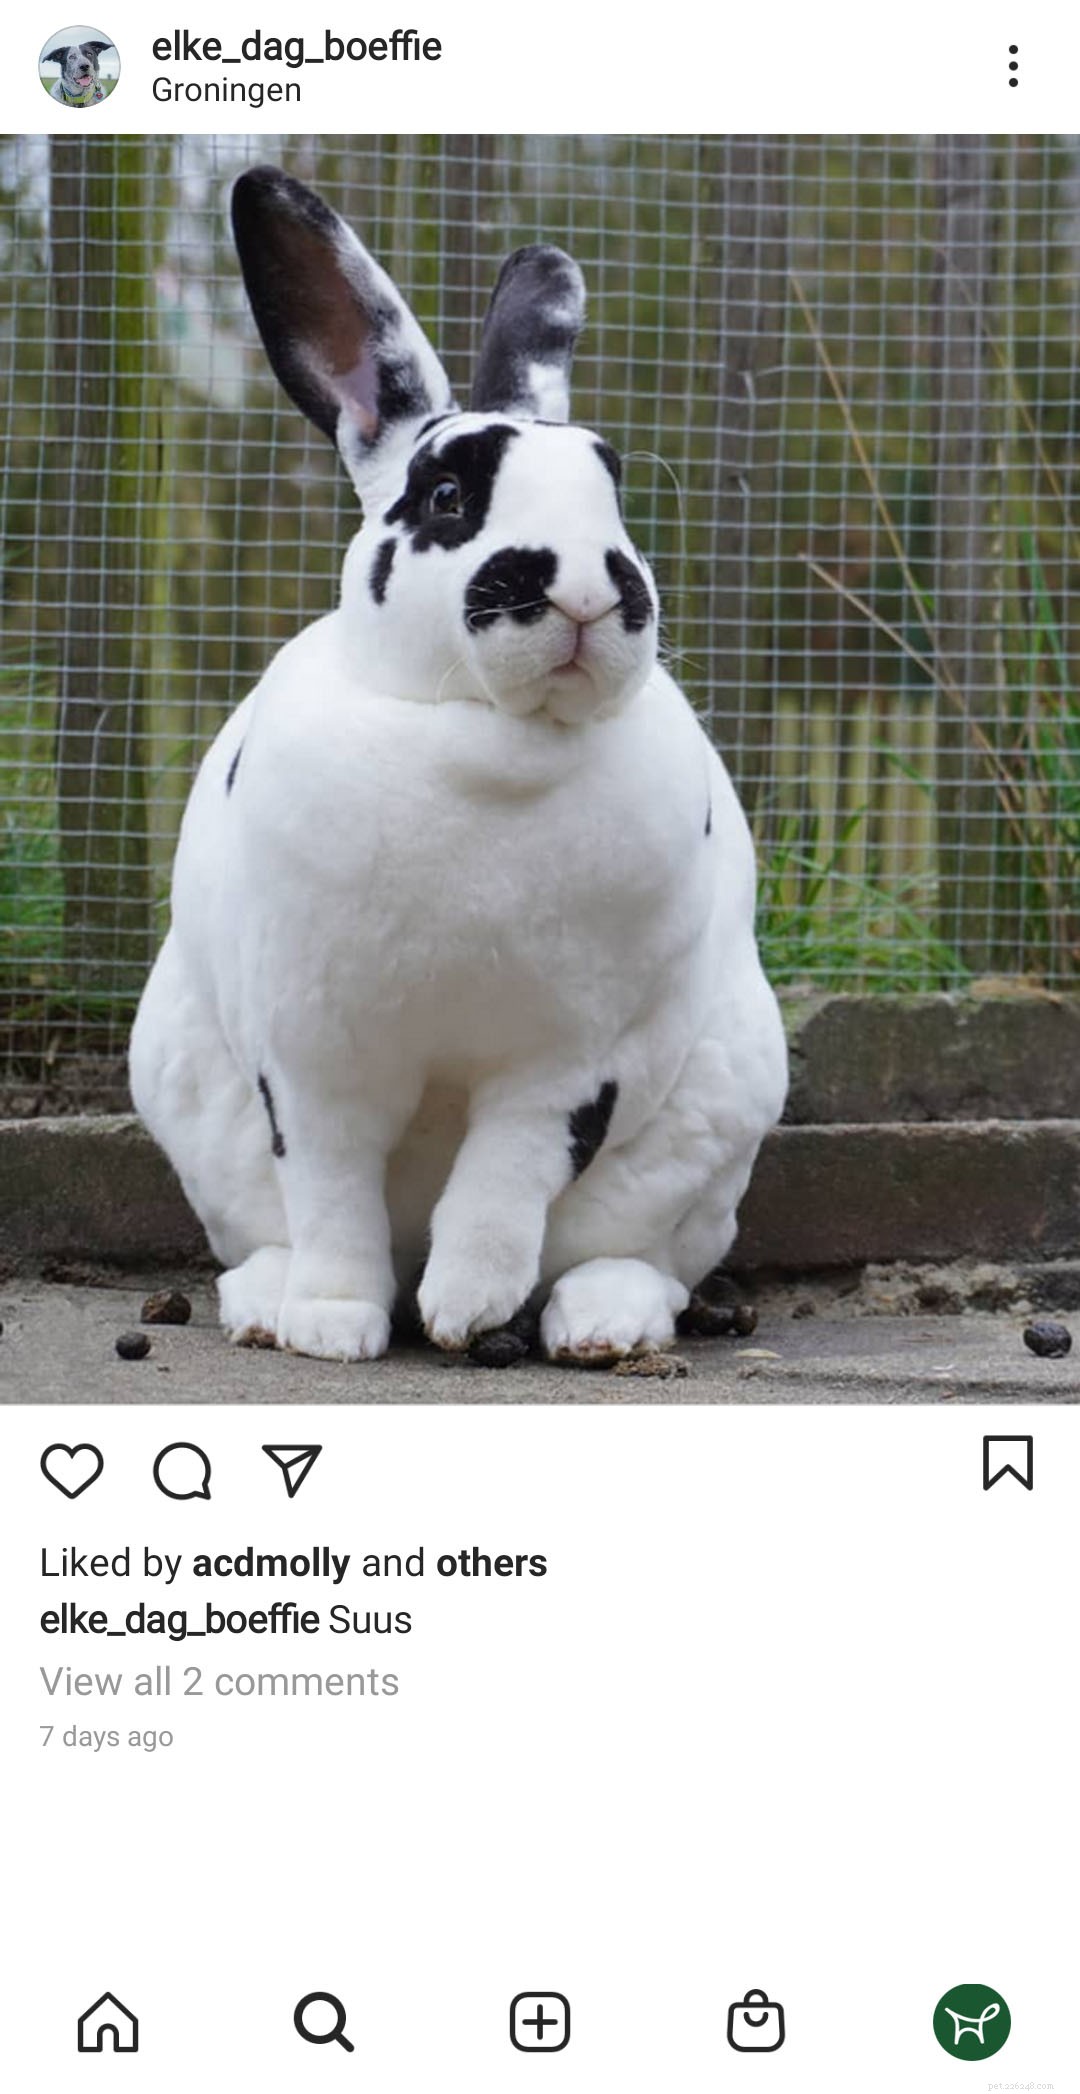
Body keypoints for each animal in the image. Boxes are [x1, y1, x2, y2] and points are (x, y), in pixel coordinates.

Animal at [129, 165, 788, 1365]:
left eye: (613, 497)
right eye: (446, 498)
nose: (592, 588)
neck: (485, 738)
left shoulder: (572, 1065)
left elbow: (503, 1178)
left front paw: (464, 1309)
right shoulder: (314, 1057)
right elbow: (332, 1186)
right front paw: (336, 1325)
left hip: (714, 1127)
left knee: (641, 1258)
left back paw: (599, 1323)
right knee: (275, 1227)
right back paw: (269, 1303)